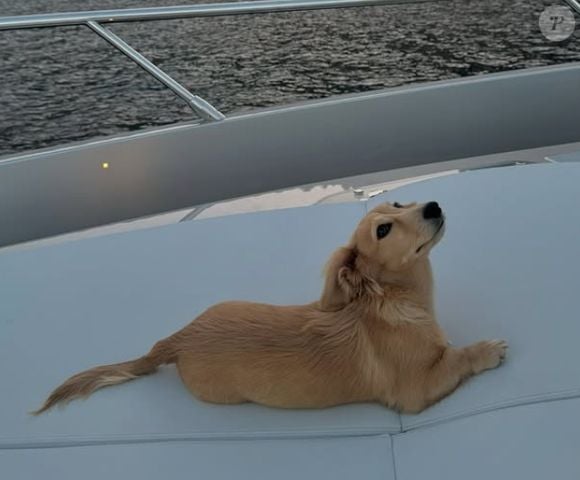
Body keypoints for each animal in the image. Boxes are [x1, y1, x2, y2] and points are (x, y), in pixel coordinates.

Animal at [35, 201, 508, 414]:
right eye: (384, 230)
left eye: (396, 202)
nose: (433, 205)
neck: (389, 302)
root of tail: (178, 338)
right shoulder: (413, 391)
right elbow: (456, 359)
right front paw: (486, 351)